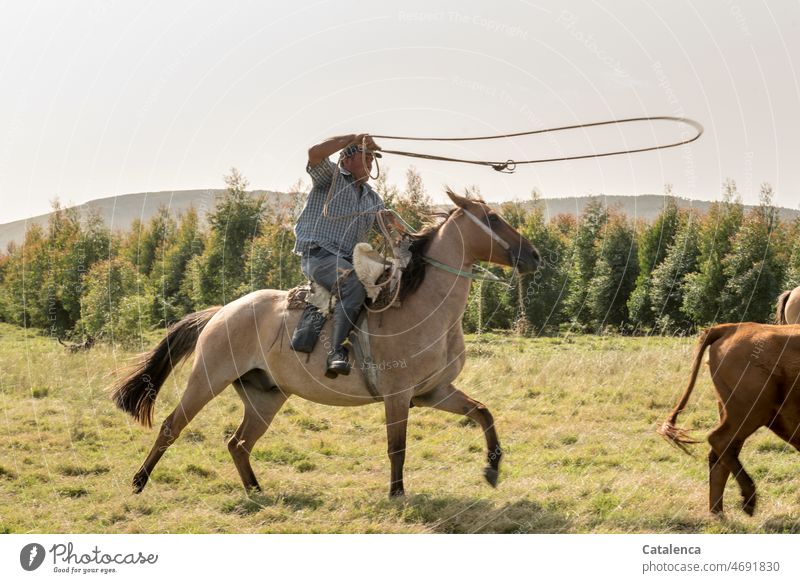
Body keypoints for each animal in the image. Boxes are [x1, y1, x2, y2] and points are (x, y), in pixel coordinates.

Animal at [109, 190, 540, 498]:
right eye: (493, 219)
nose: (534, 255)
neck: (424, 305)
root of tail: (221, 312)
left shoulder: (435, 391)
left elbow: (483, 412)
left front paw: (492, 469)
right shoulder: (398, 396)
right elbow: (397, 447)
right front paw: (397, 494)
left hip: (265, 396)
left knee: (239, 443)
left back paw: (256, 491)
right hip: (207, 379)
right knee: (171, 427)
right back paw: (138, 482)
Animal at [660, 322, 800, 516]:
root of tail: (732, 327)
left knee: (721, 456)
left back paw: (717, 513)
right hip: (750, 412)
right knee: (719, 440)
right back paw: (748, 500)